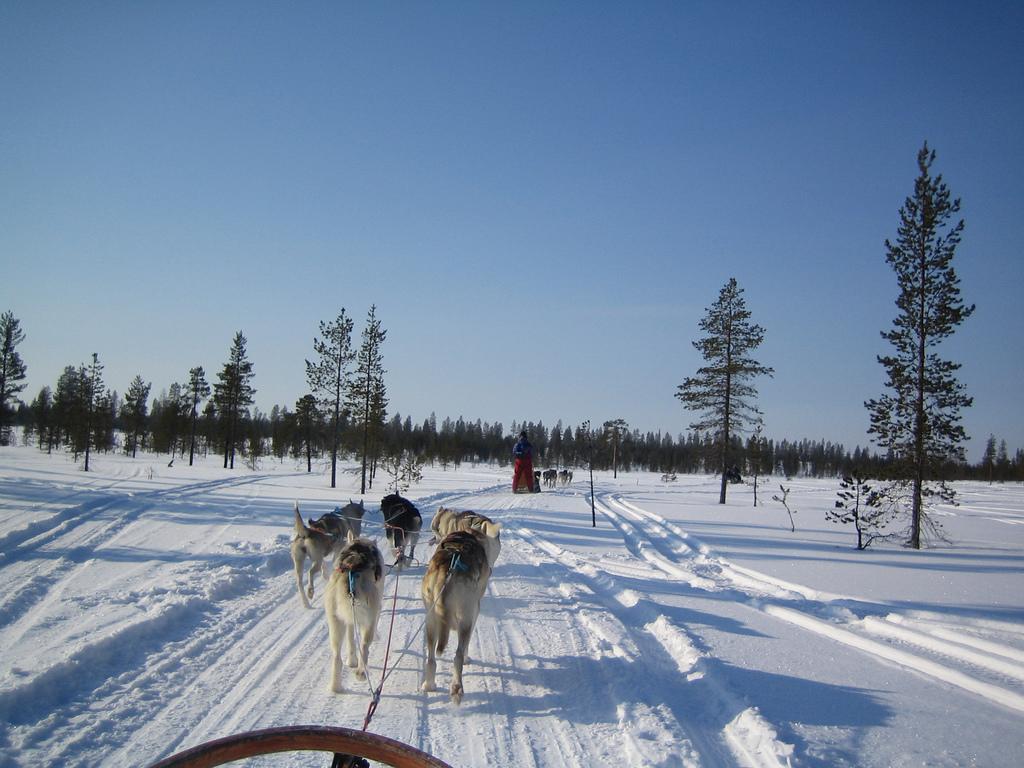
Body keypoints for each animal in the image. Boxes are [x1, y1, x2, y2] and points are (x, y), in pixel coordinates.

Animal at [323, 536, 385, 696]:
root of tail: (351, 571)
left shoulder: (349, 618)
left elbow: (351, 638)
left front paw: (351, 660)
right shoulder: (375, 610)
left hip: (335, 622)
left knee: (336, 656)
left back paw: (335, 687)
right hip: (368, 620)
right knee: (364, 646)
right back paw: (361, 673)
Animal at [419, 532, 491, 708]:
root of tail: (446, 573)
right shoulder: (474, 612)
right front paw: (467, 658)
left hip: (430, 620)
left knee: (431, 658)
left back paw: (429, 685)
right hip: (465, 618)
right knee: (457, 656)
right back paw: (457, 688)